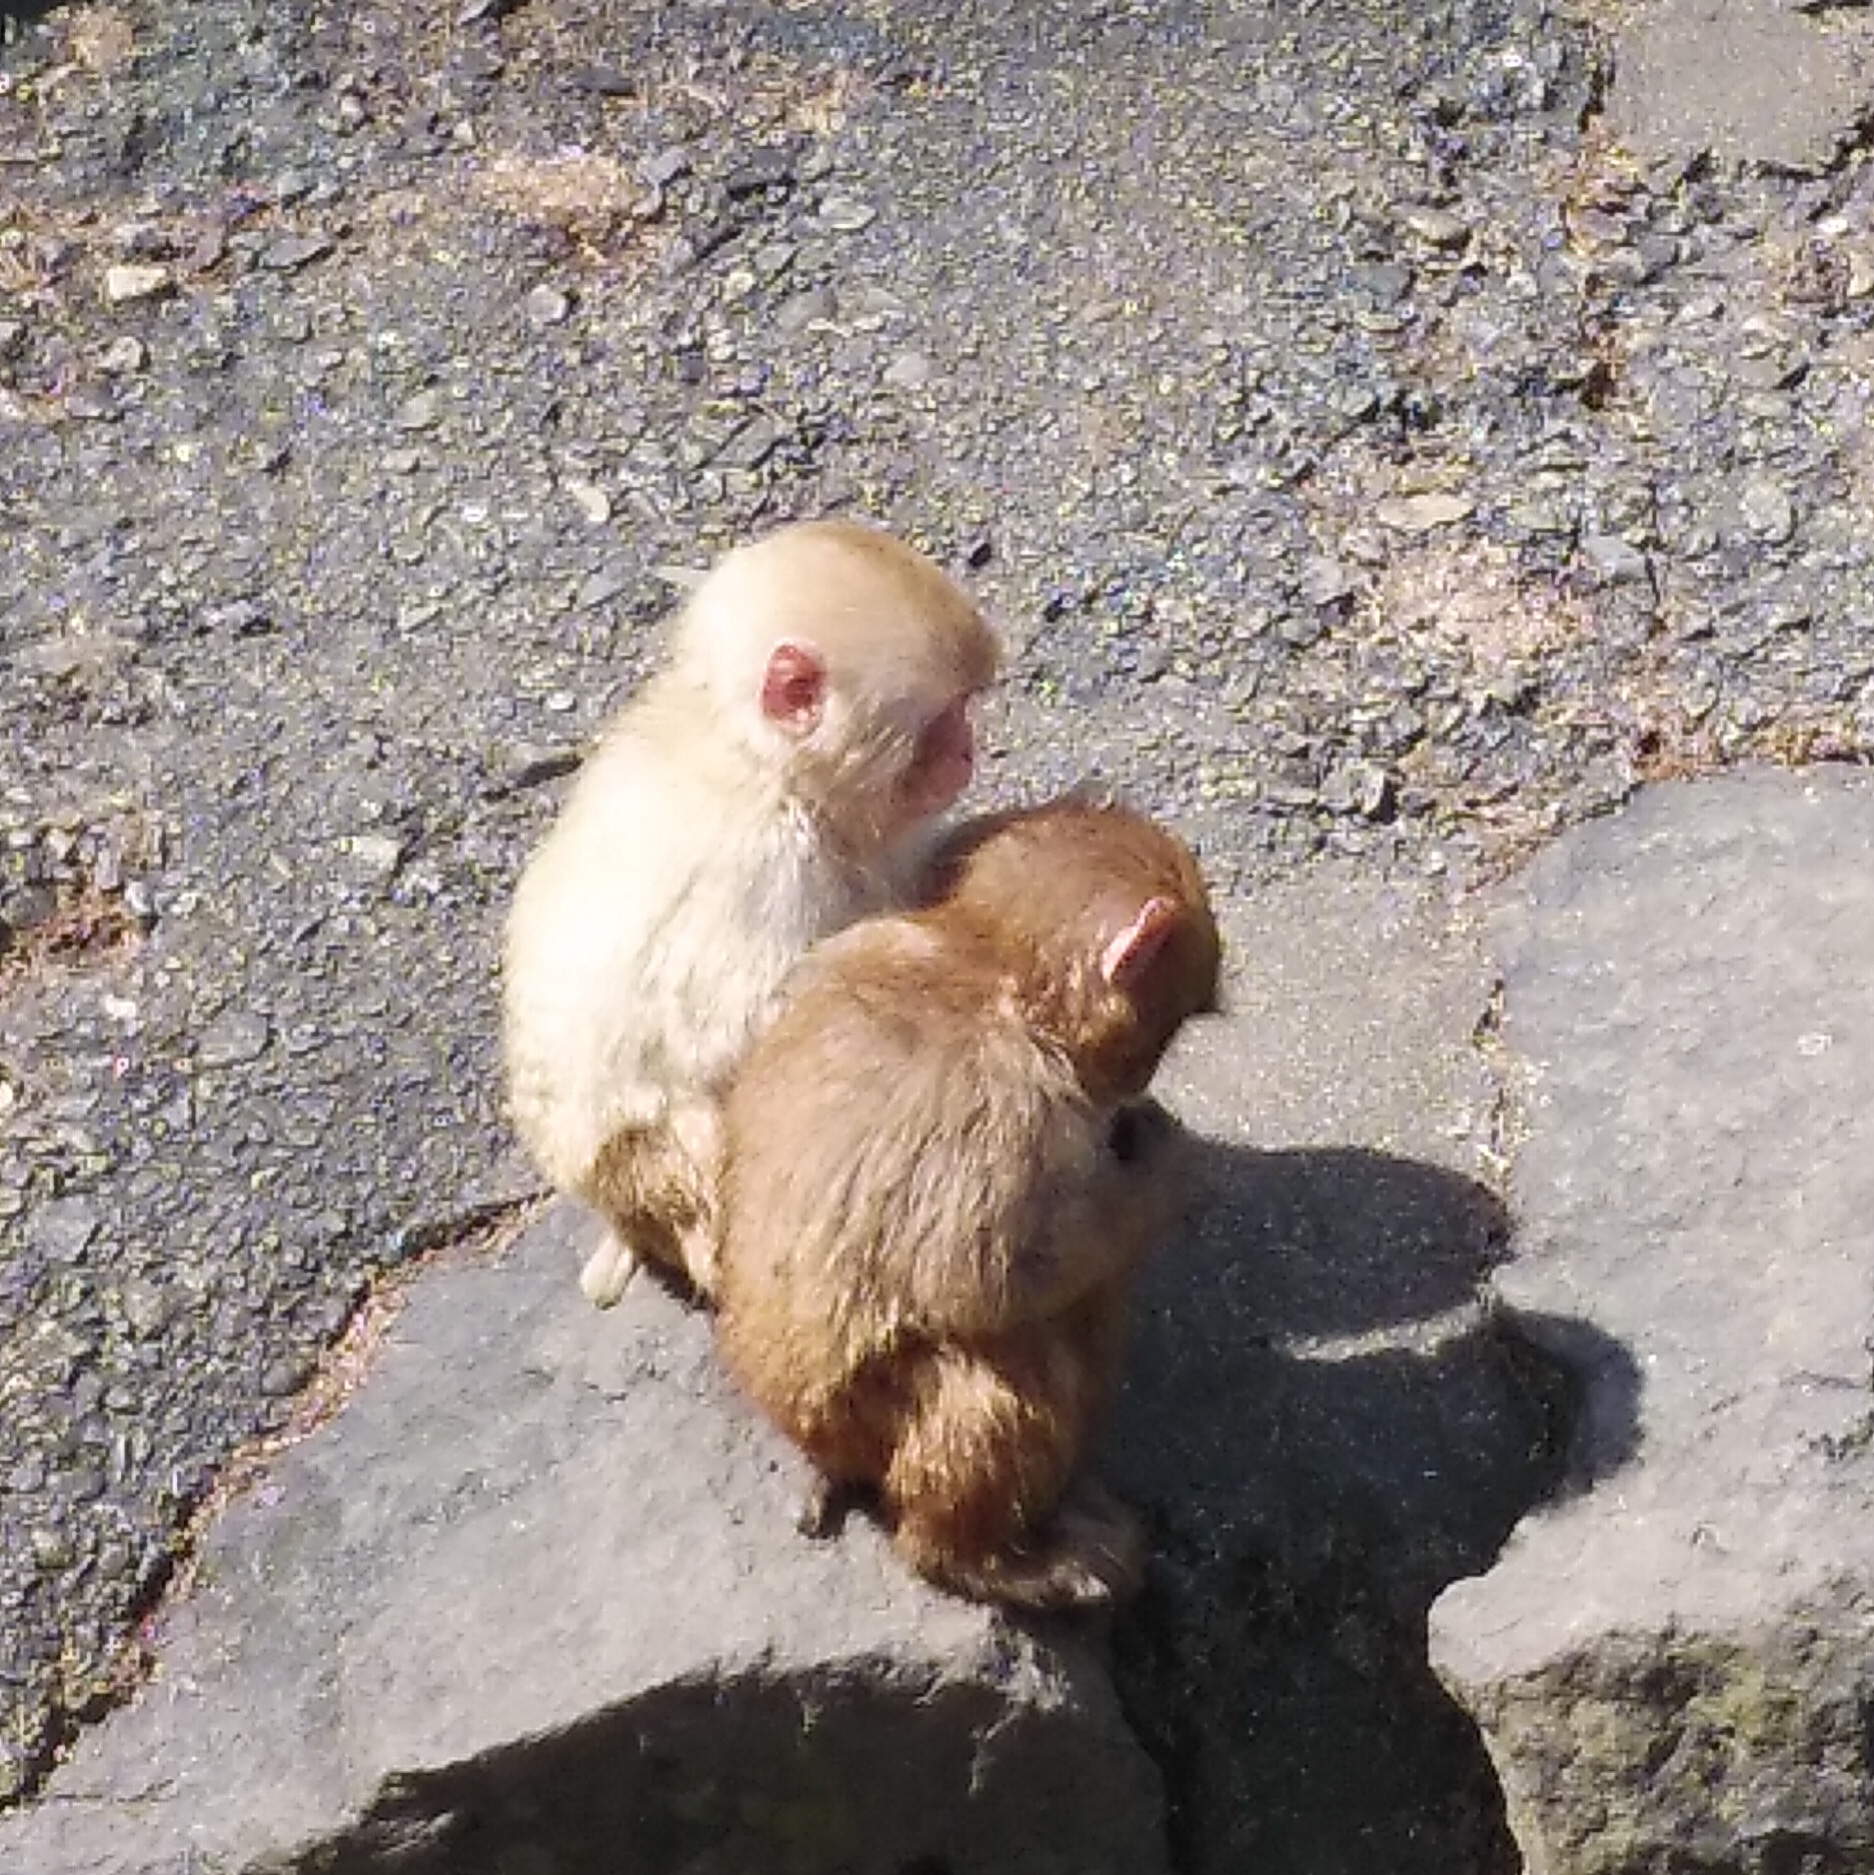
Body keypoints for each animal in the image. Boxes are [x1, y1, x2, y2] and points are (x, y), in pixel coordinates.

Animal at [501, 519, 1000, 1308]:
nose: (968, 751)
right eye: (944, 717)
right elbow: (740, 1030)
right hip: (635, 1169)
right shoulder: (758, 860)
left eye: (965, 710)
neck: (759, 757)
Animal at [712, 798, 1221, 1610]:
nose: (1139, 1075)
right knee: (1016, 1365)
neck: (982, 962)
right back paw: (981, 1558)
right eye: (1169, 1025)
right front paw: (1167, 1168)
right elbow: (992, 1275)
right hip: (868, 1421)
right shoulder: (1009, 1096)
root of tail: (796, 1421)